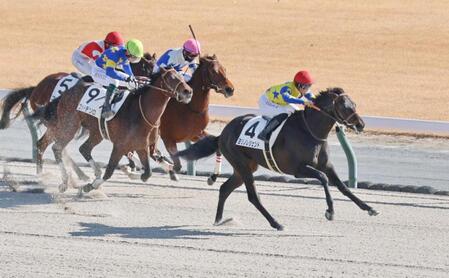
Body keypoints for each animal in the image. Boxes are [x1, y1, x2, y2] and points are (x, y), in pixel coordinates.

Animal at [0, 53, 156, 180]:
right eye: (148, 69)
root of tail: (36, 88)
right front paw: (133, 167)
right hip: (60, 124)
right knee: (55, 146)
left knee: (50, 145)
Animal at [31, 67, 192, 193]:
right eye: (171, 78)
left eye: (182, 77)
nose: (188, 91)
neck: (143, 113)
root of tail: (67, 92)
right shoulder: (120, 146)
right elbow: (110, 171)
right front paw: (90, 186)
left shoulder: (143, 146)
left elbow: (148, 173)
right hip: (68, 126)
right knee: (57, 148)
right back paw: (63, 181)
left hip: (94, 132)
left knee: (81, 148)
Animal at [175, 87, 378, 230]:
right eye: (344, 106)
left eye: (354, 104)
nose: (361, 124)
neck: (309, 130)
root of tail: (222, 135)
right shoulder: (298, 170)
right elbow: (323, 178)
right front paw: (330, 212)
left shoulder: (326, 165)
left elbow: (343, 187)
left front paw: (369, 208)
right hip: (242, 166)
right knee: (253, 196)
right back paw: (276, 223)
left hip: (244, 167)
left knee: (225, 189)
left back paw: (218, 220)